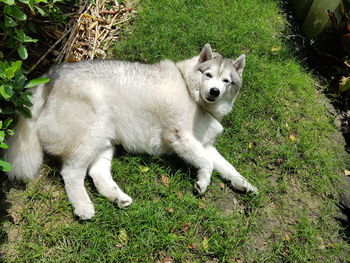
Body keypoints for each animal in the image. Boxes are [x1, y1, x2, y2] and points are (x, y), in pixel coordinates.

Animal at [4, 44, 258, 220]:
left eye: (227, 81)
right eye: (208, 75)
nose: (214, 91)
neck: (191, 92)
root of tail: (51, 75)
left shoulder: (204, 144)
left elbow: (226, 165)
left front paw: (243, 183)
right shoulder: (180, 137)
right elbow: (208, 163)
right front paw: (203, 181)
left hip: (104, 139)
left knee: (97, 173)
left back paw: (117, 197)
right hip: (92, 132)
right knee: (72, 173)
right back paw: (83, 205)